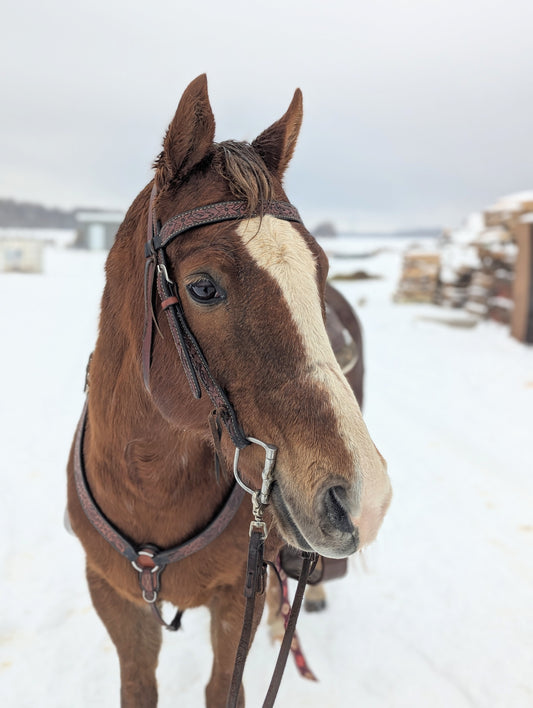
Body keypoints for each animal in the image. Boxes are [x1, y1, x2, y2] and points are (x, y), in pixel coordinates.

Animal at [66, 74, 390, 704]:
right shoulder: (115, 601)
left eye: (321, 268)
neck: (150, 487)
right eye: (202, 287)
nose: (364, 499)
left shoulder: (232, 603)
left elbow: (225, 684)